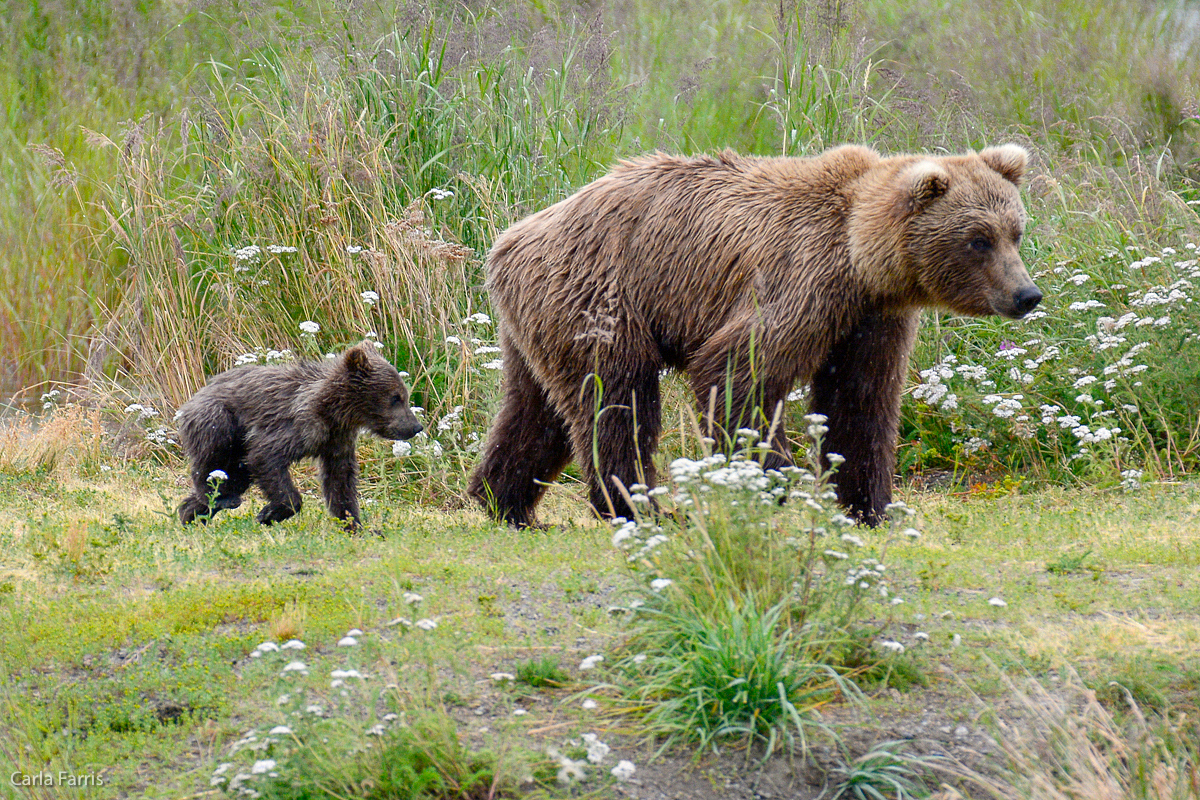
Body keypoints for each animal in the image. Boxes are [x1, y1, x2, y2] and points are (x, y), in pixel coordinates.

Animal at [468, 143, 1041, 527]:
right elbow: (736, 375)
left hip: (539, 319)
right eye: (978, 239)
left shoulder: (870, 320)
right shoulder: (801, 281)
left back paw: (505, 502)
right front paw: (776, 479)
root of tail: (508, 240)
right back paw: (639, 507)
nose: (1026, 294)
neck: (863, 261)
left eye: (1015, 231)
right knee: (617, 402)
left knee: (535, 412)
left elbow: (861, 404)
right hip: (601, 296)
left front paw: (872, 506)